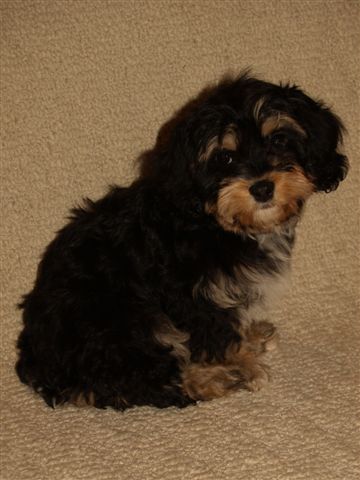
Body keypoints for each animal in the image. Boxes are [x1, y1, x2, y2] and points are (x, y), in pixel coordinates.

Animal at [15, 74, 348, 408]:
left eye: (278, 140)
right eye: (225, 156)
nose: (262, 188)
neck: (215, 223)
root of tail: (39, 362)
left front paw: (250, 337)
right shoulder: (191, 295)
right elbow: (217, 334)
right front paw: (243, 364)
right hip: (118, 317)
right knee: (137, 380)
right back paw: (213, 380)